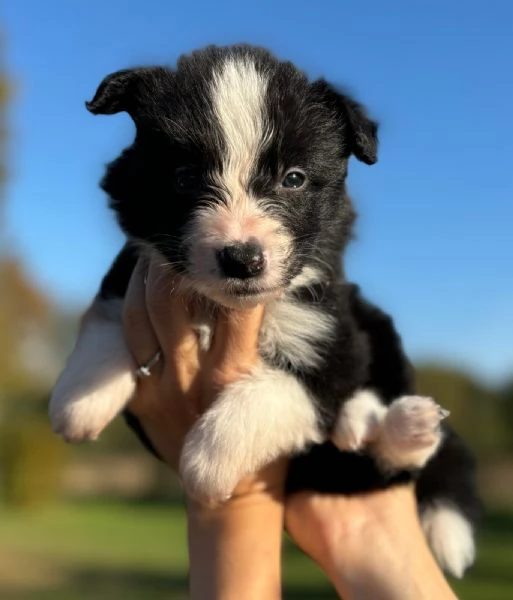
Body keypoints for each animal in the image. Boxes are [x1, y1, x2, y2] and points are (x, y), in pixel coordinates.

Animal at [49, 44, 480, 580]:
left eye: (293, 179)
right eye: (184, 178)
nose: (242, 258)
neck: (219, 308)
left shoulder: (331, 335)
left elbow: (278, 390)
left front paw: (207, 458)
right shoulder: (138, 272)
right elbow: (107, 312)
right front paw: (79, 398)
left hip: (376, 327)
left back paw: (399, 425)